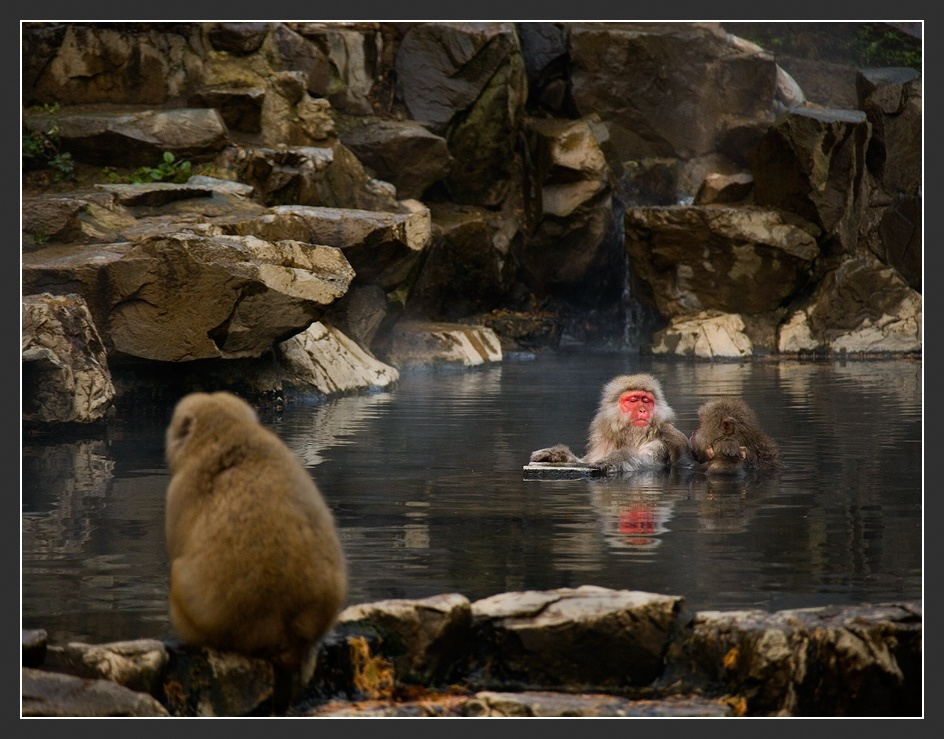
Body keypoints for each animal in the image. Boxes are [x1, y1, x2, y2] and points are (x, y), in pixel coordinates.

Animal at [530, 373, 696, 474]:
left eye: (646, 400)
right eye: (633, 400)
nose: (643, 410)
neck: (631, 435)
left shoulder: (658, 442)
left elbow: (645, 464)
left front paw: (612, 460)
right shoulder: (603, 443)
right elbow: (585, 461)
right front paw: (556, 454)